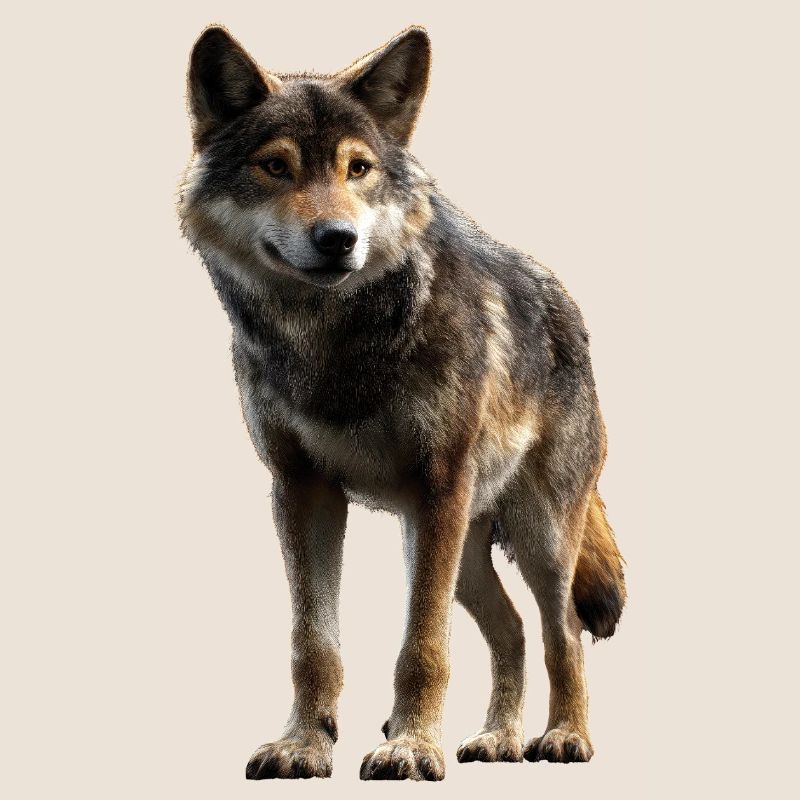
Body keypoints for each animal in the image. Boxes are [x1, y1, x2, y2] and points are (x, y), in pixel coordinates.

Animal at [178, 25, 626, 781]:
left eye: (358, 168)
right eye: (276, 167)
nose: (338, 239)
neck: (334, 341)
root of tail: (568, 307)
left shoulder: (437, 486)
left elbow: (422, 646)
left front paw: (411, 747)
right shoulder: (301, 490)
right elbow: (312, 644)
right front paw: (304, 745)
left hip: (531, 536)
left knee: (560, 630)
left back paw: (564, 737)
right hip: (460, 550)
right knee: (510, 631)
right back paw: (497, 739)